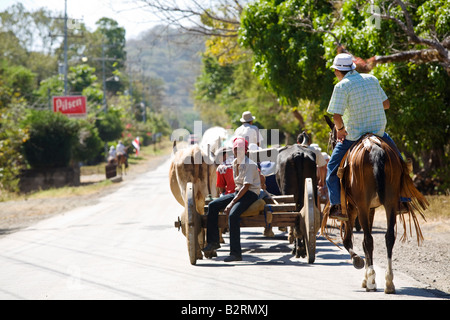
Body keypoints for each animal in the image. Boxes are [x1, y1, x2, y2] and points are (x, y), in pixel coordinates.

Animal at [320, 116, 428, 294]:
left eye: (331, 139)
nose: (334, 144)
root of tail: (375, 150)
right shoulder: (371, 209)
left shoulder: (353, 209)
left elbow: (348, 240)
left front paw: (361, 269)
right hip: (390, 203)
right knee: (388, 237)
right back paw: (389, 282)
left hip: (362, 207)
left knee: (368, 240)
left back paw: (371, 280)